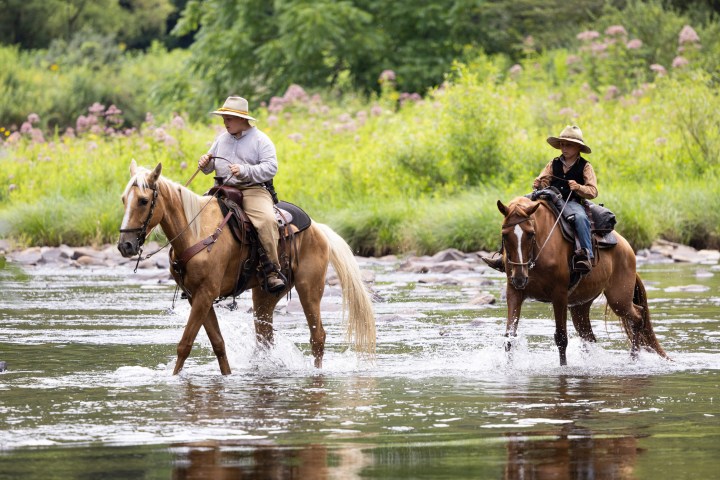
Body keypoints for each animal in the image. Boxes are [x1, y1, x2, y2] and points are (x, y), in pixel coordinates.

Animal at [117, 161, 376, 375]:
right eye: (123, 199)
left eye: (143, 201)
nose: (125, 245)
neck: (196, 232)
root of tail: (318, 228)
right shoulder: (196, 296)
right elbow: (218, 343)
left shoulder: (205, 294)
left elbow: (185, 343)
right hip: (265, 294)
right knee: (265, 337)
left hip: (309, 288)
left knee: (317, 336)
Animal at [495, 196, 668, 366]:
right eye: (504, 234)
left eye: (531, 233)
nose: (519, 277)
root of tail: (627, 247)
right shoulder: (514, 292)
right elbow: (509, 338)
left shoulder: (559, 295)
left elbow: (561, 338)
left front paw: (563, 367)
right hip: (580, 305)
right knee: (588, 336)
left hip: (619, 299)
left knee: (638, 315)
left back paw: (634, 359)